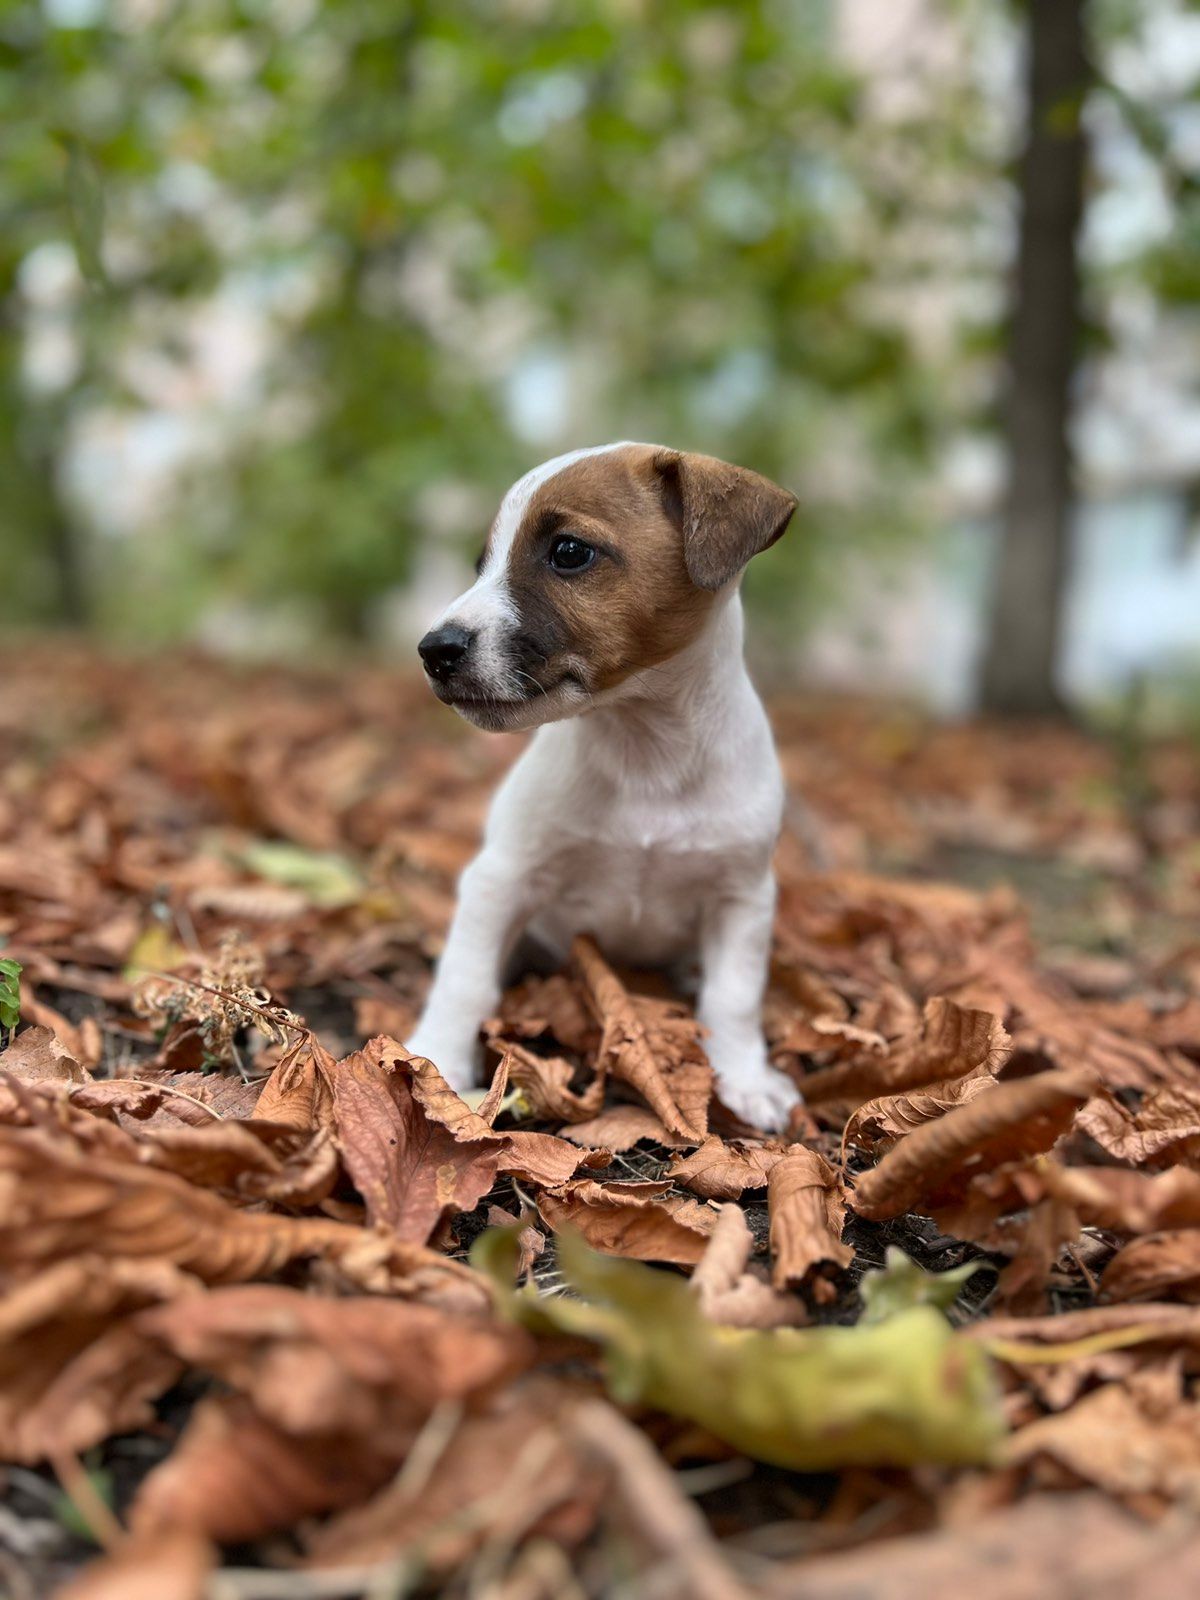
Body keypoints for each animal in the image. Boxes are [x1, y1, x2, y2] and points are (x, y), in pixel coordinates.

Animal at [409, 444, 803, 1132]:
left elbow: (733, 997)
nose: (435, 650)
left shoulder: (742, 897)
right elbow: (464, 976)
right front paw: (437, 1061)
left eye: (568, 552)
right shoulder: (501, 878)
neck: (644, 751)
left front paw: (746, 1080)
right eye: (482, 564)